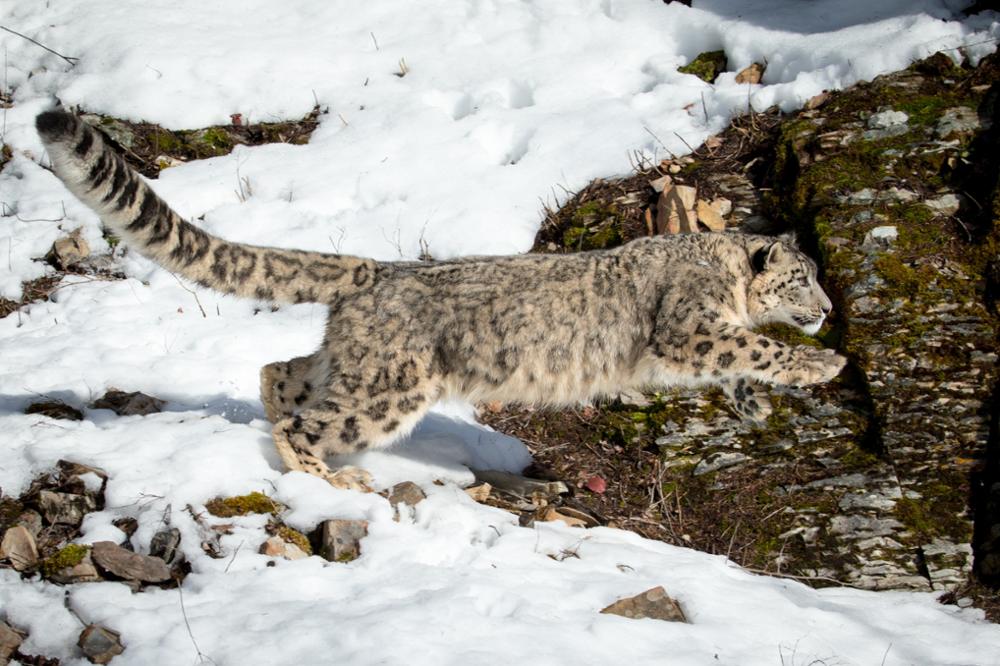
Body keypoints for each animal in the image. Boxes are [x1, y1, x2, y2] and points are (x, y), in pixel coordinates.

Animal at [33, 107, 844, 482]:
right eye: (805, 276)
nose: (831, 310)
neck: (725, 275)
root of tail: (376, 271)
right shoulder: (690, 327)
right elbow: (751, 345)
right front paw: (822, 366)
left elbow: (744, 357)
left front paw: (757, 402)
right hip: (391, 388)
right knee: (310, 420)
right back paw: (329, 482)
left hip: (355, 363)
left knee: (282, 370)